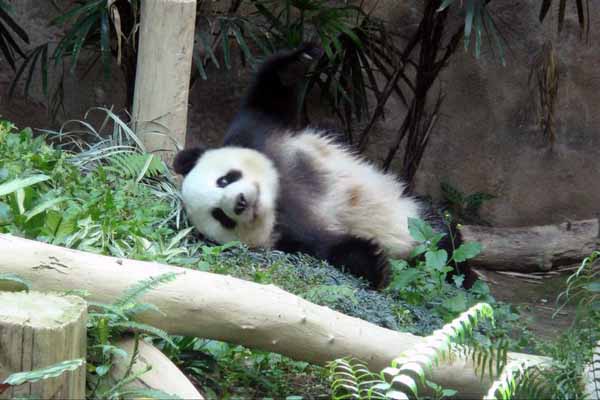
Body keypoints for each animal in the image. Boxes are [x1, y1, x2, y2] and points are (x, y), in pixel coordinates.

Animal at [173, 43, 446, 288]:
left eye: (224, 180)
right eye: (220, 216)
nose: (240, 202)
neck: (277, 198)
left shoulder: (257, 135)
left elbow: (268, 97)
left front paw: (298, 61)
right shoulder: (292, 237)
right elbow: (330, 247)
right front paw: (377, 265)